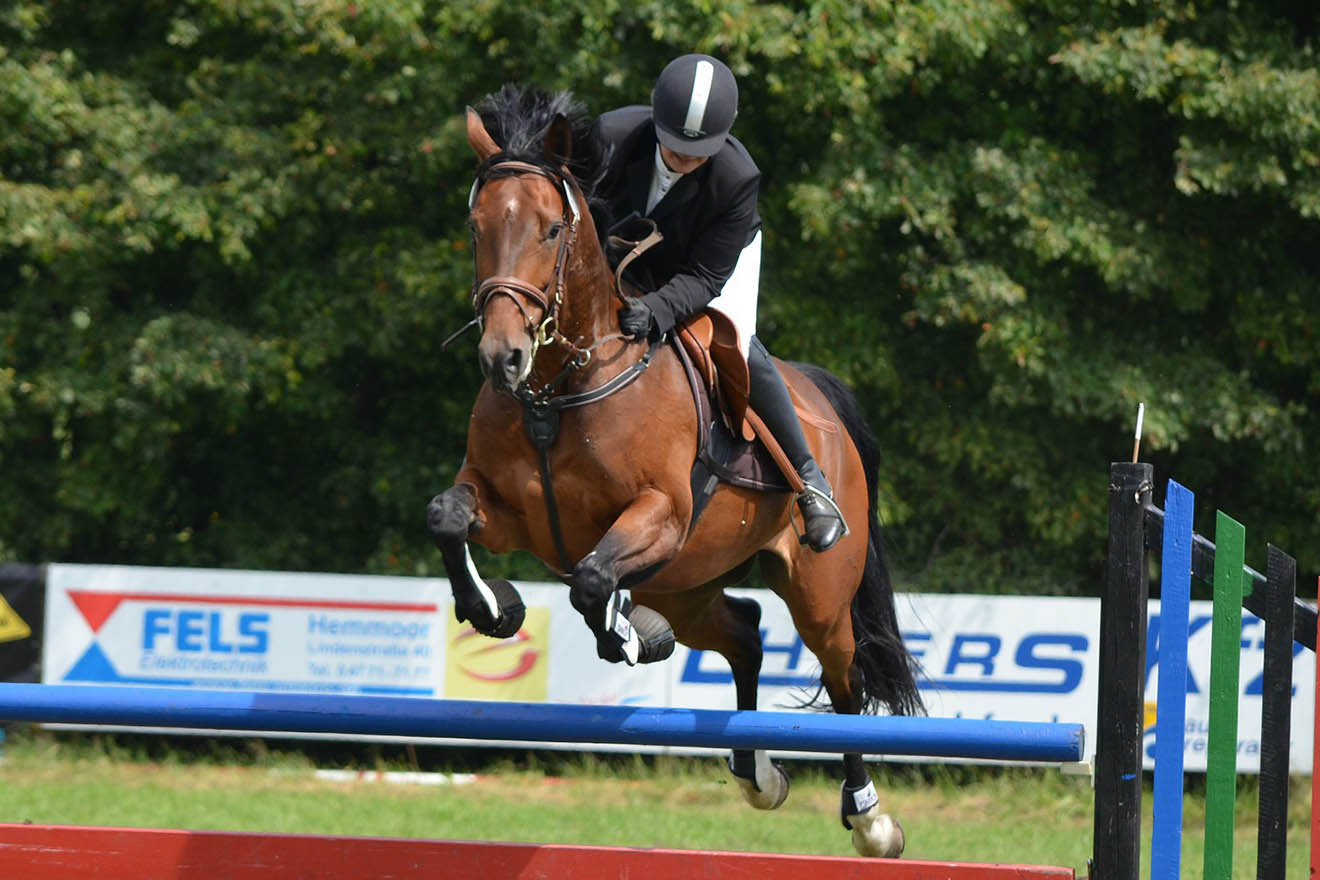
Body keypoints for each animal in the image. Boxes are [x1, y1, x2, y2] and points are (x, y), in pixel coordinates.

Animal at [427, 89, 924, 860]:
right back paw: (757, 775)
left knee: (842, 681)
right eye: (476, 228)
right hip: (689, 583)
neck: (561, 385)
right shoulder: (510, 512)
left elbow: (592, 578)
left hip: (817, 595)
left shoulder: (658, 513)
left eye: (550, 230)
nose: (501, 359)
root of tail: (822, 404)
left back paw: (870, 816)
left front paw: (627, 634)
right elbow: (448, 517)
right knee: (744, 633)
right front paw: (493, 607)